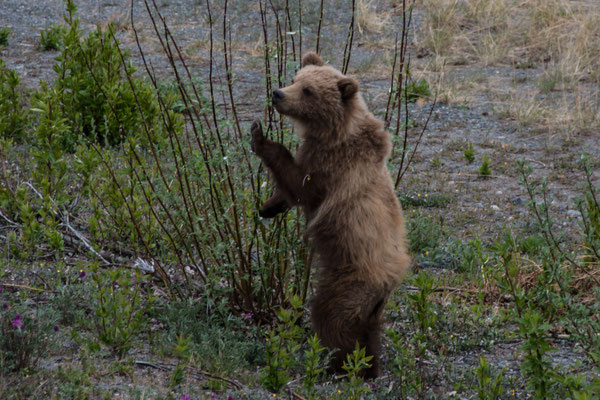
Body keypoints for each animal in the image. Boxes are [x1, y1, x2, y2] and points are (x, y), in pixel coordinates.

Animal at [251, 51, 410, 376]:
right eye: (296, 78)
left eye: (308, 90)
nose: (278, 93)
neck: (334, 133)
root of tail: (390, 280)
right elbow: (291, 189)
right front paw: (268, 207)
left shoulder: (333, 168)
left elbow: (301, 184)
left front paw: (260, 137)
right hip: (368, 301)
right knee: (368, 330)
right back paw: (369, 364)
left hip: (349, 278)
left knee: (331, 316)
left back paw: (340, 364)